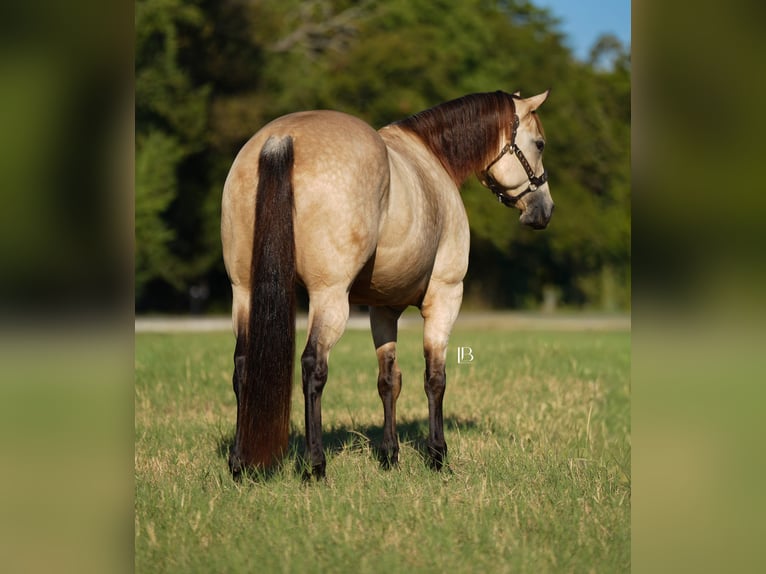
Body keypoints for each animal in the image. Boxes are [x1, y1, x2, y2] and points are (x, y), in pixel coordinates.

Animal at [221, 90, 553, 479]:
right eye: (539, 143)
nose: (544, 210)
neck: (433, 158)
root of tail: (281, 140)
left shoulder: (383, 309)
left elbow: (388, 380)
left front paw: (390, 455)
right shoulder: (445, 296)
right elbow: (435, 377)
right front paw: (437, 454)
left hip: (244, 292)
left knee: (243, 366)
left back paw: (240, 462)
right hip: (329, 297)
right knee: (312, 367)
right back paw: (315, 464)